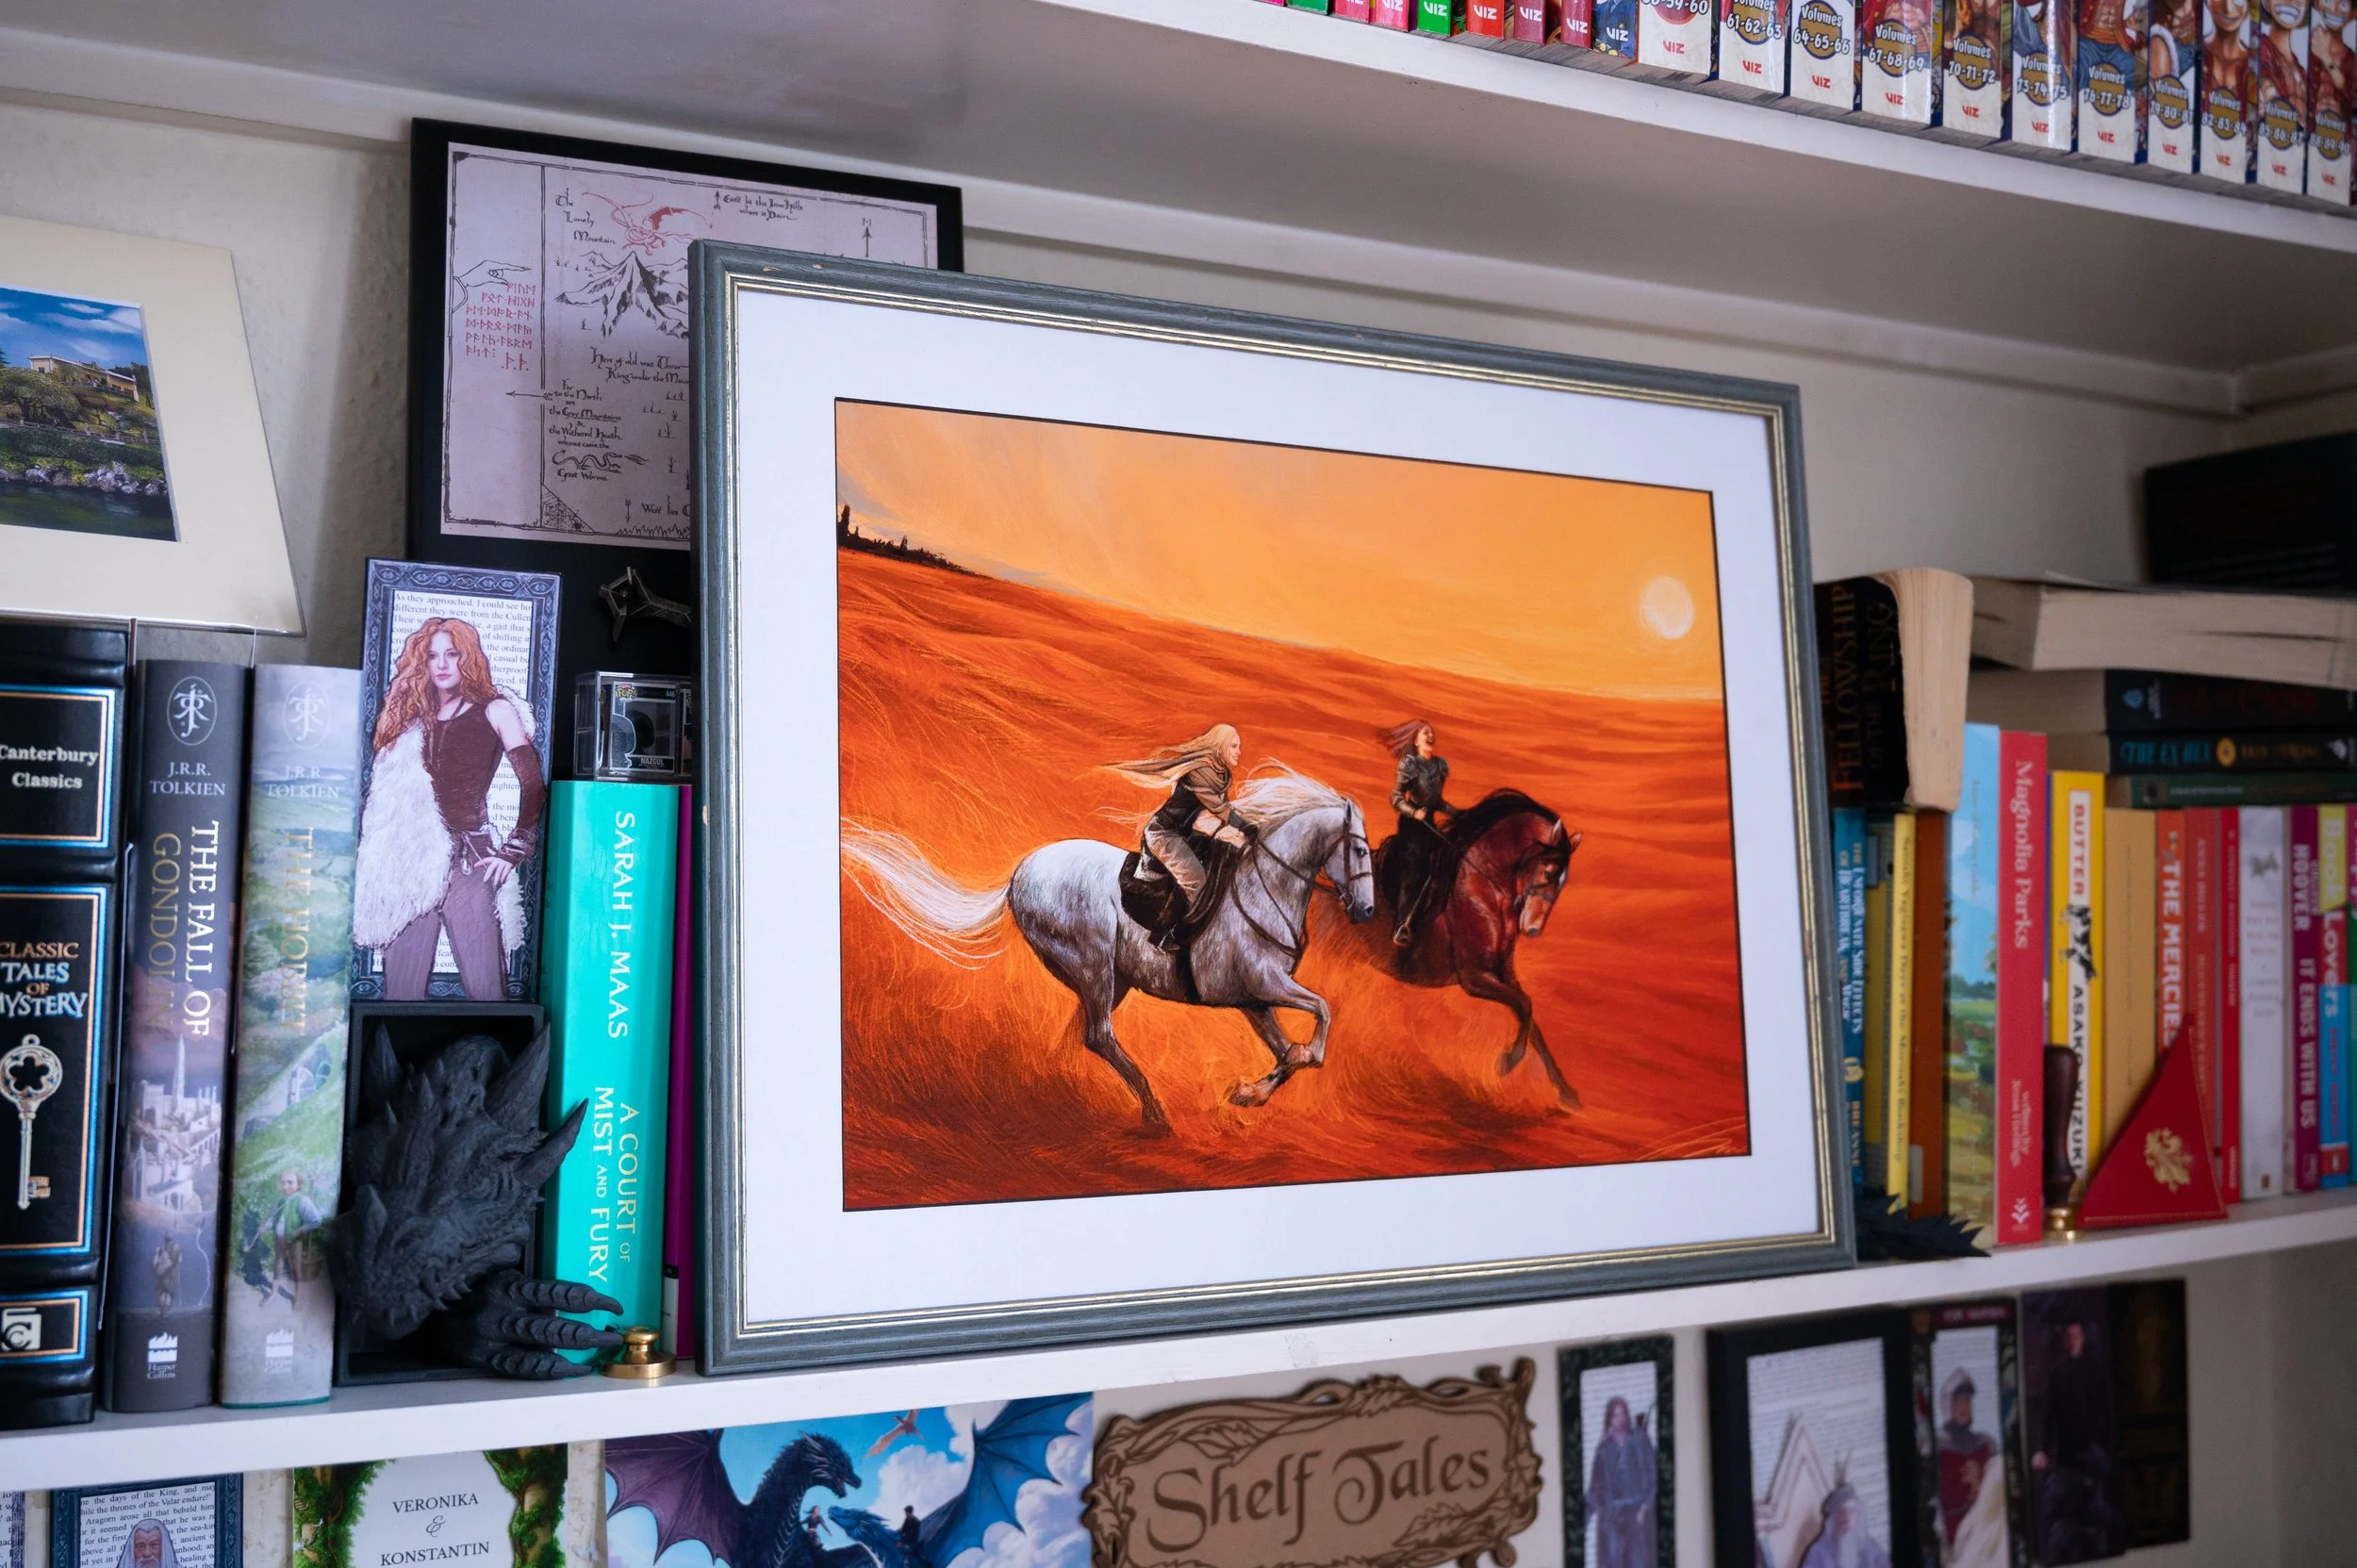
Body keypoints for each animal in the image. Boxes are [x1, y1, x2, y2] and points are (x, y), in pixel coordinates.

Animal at [840, 770, 1377, 1133]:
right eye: (1360, 851)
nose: (1368, 910)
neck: (1262, 886)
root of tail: (1020, 874)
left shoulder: (1254, 998)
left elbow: (1287, 1051)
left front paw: (1249, 1094)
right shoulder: (1265, 984)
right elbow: (1321, 1018)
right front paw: (1287, 1066)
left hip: (1112, 979)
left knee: (1082, 1037)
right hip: (1094, 965)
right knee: (1099, 1036)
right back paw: (1155, 1114)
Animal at [1374, 789, 1584, 1108]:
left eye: (1564, 882)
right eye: (1548, 872)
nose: (1533, 929)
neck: (1485, 886)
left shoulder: (1504, 974)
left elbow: (1532, 1020)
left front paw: (1566, 1092)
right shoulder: (1475, 978)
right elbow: (1525, 1006)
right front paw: (1508, 1062)